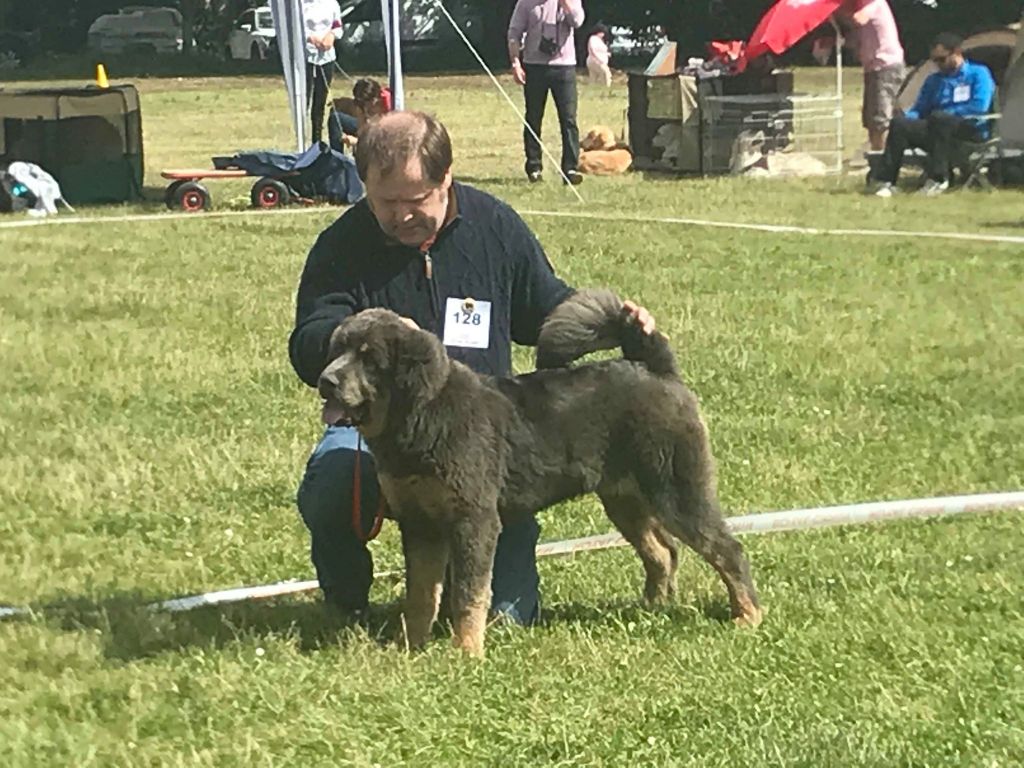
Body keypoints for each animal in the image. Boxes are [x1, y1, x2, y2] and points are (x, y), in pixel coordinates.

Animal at [319, 288, 761, 655]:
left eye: (368, 357)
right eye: (337, 350)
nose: (326, 380)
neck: (422, 415)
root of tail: (658, 371)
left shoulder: (474, 520)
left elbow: (467, 595)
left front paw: (466, 652)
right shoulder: (420, 524)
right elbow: (422, 594)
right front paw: (412, 647)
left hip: (677, 492)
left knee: (727, 549)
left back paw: (748, 615)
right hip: (625, 500)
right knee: (663, 552)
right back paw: (652, 608)